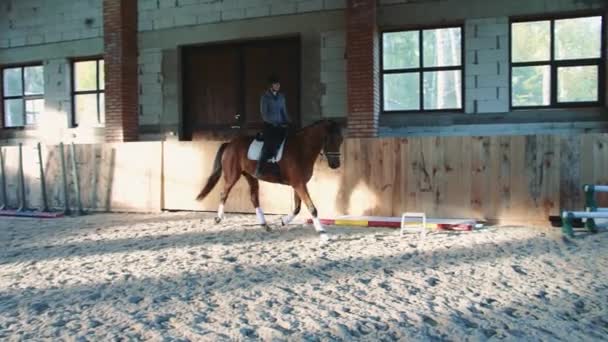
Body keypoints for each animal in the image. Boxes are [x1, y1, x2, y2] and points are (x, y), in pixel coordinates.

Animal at [197, 119, 344, 242]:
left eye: (341, 140)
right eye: (329, 139)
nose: (335, 165)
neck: (301, 149)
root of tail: (230, 144)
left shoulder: (298, 184)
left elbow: (297, 208)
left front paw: (283, 221)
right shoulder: (299, 184)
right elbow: (312, 208)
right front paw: (323, 234)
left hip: (251, 176)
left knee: (254, 198)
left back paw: (265, 225)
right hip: (232, 175)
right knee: (224, 193)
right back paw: (218, 218)